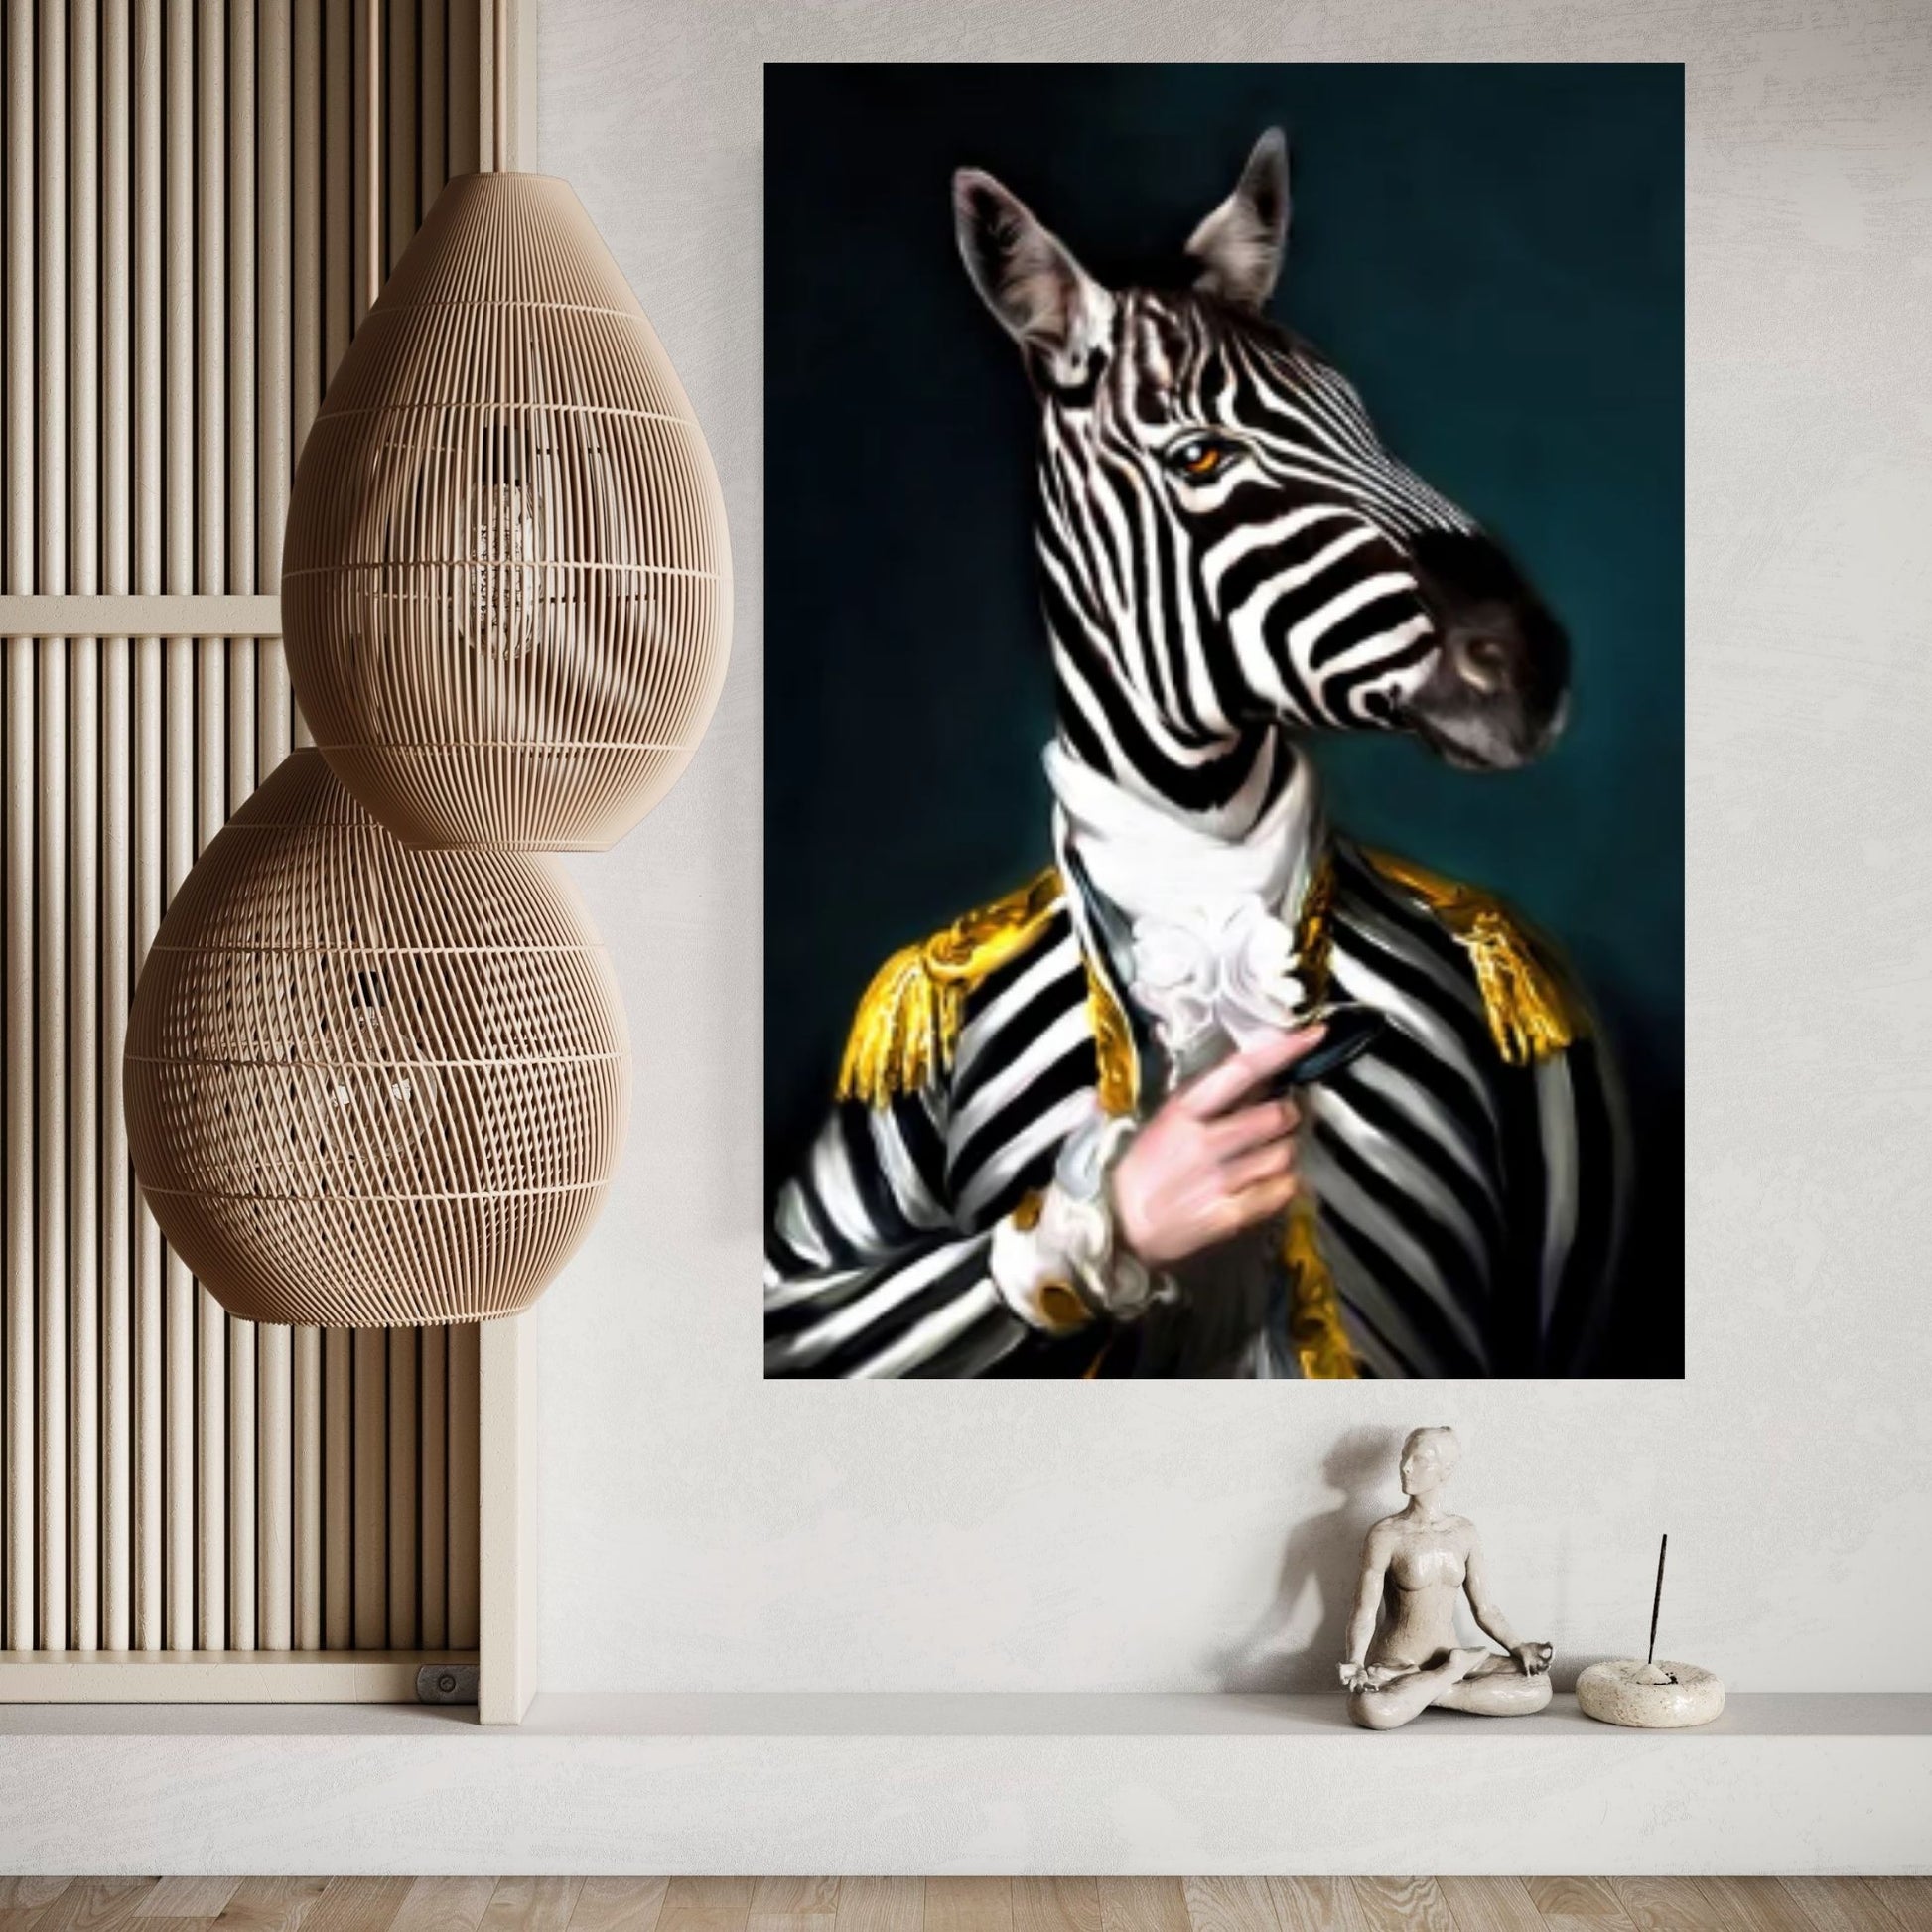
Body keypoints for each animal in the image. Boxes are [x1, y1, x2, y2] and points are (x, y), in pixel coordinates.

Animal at [766, 130, 1627, 1379]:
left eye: (1364, 421)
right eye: (1205, 457)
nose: (1528, 664)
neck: (1202, 856)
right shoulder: (869, 1111)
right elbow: (811, 1302)